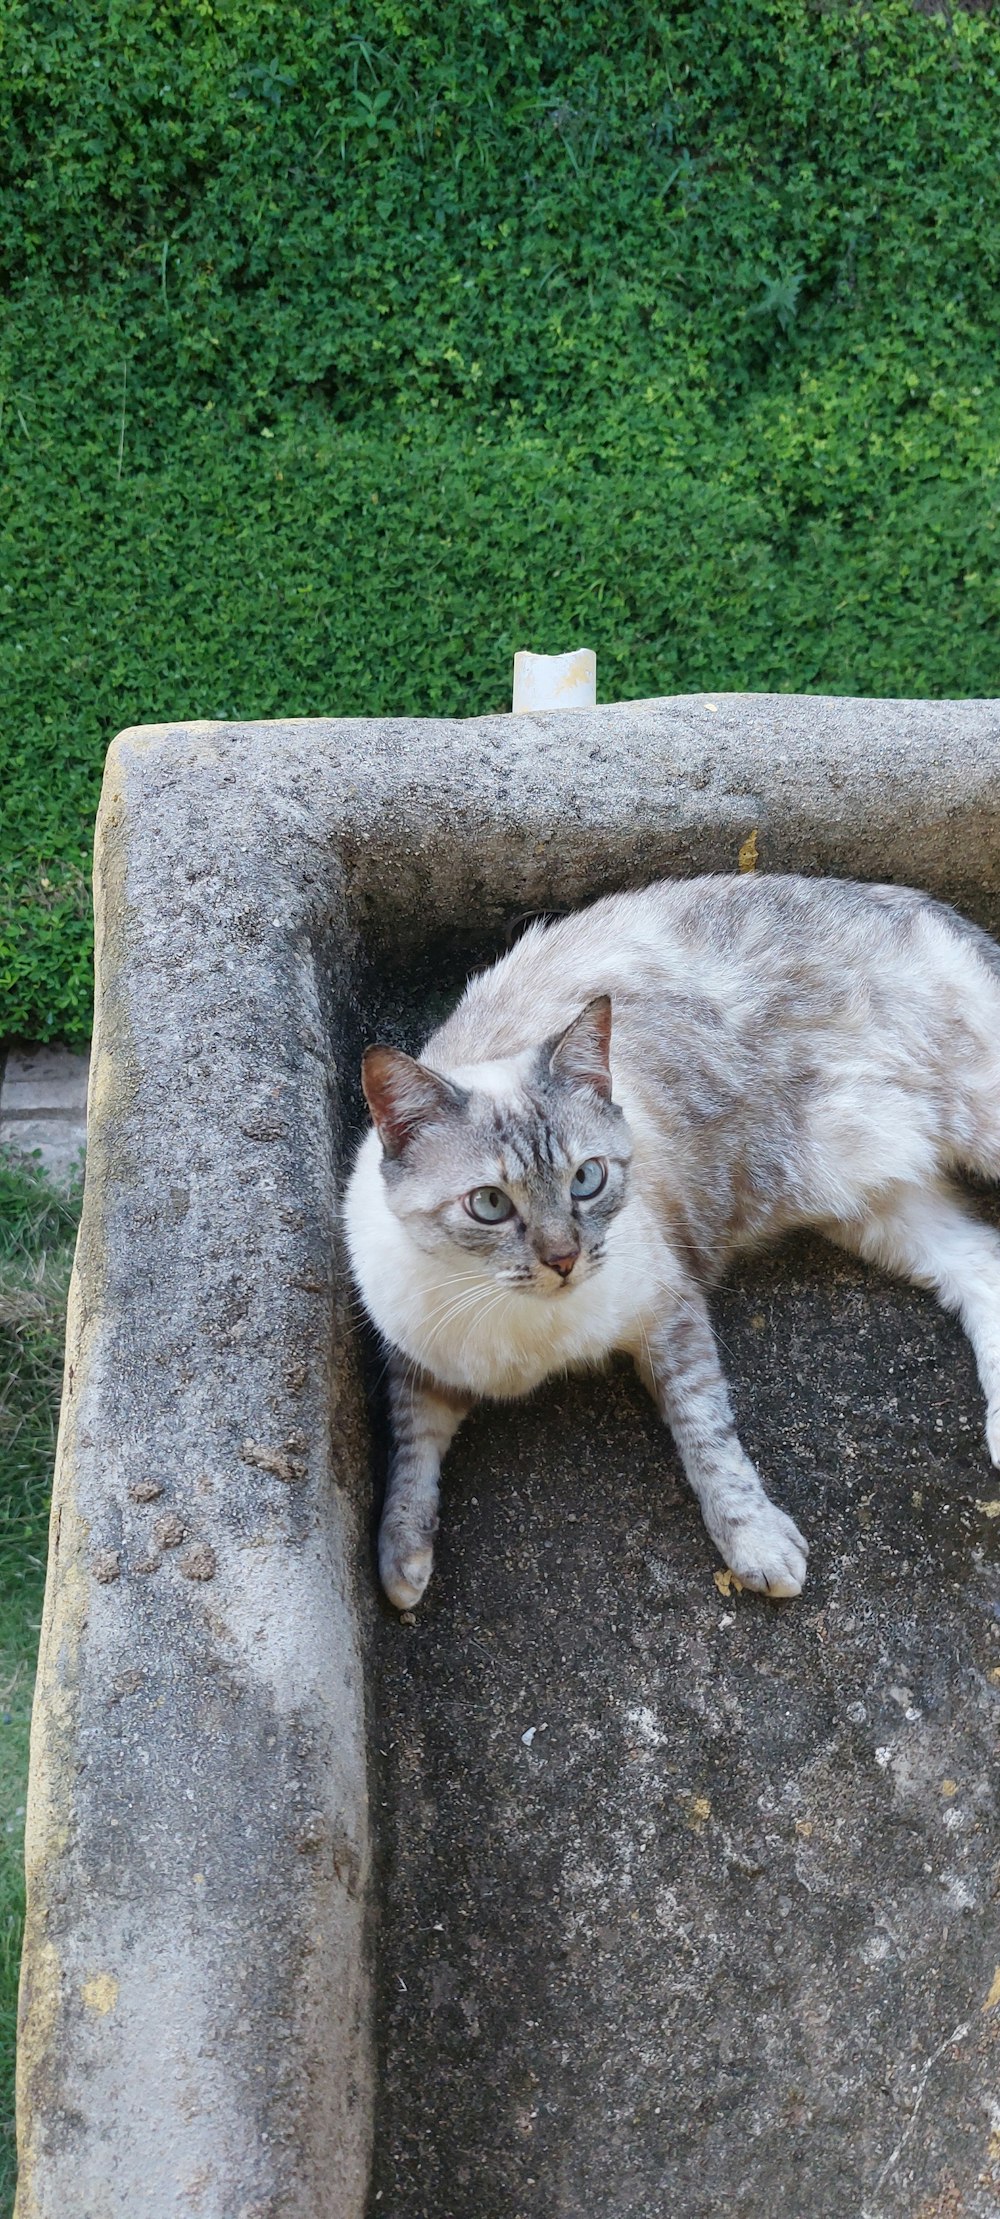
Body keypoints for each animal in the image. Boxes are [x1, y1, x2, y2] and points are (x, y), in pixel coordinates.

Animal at [341, 869, 1000, 1615]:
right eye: (489, 1205)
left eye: (587, 1179)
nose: (563, 1259)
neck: (530, 1339)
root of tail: (912, 899)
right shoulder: (421, 1365)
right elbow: (408, 1450)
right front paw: (401, 1560)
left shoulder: (669, 1316)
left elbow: (709, 1438)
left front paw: (755, 1544)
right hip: (872, 1202)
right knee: (982, 1260)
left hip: (972, 1125)